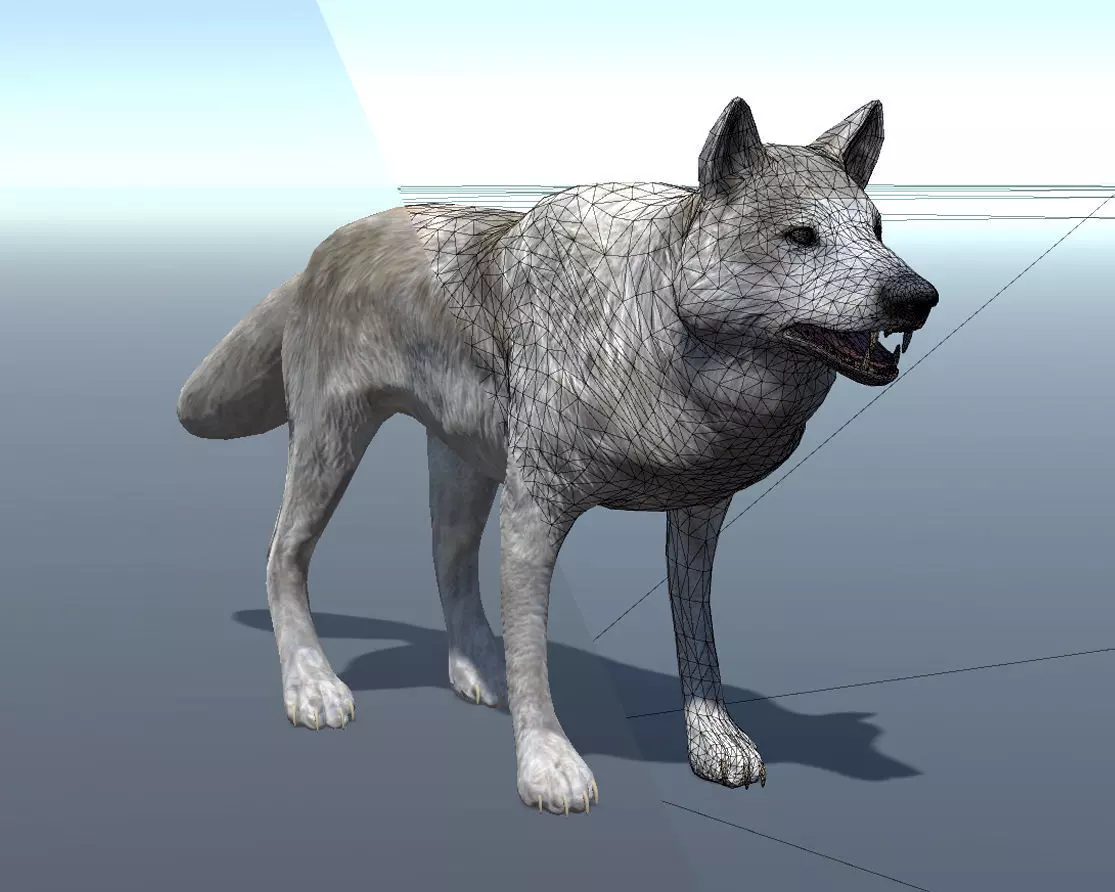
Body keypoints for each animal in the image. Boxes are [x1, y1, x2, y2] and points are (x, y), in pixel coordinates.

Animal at [177, 96, 938, 815]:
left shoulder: (699, 510)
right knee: (283, 555)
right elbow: (535, 650)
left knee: (447, 561)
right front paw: (547, 764)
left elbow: (697, 635)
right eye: (800, 237)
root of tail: (322, 250)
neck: (655, 322)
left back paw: (478, 671)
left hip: (463, 465)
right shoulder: (534, 508)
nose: (918, 296)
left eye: (876, 230)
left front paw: (711, 741)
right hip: (333, 445)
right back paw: (312, 685)